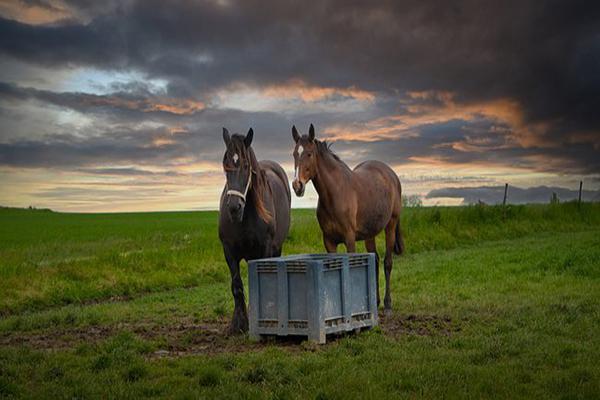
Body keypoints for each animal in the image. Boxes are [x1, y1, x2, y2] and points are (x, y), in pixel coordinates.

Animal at [219, 127, 292, 332]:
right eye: (225, 165)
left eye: (245, 165)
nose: (234, 207)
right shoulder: (229, 251)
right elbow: (237, 286)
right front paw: (238, 323)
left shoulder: (265, 248)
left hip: (276, 247)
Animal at [290, 123, 404, 314]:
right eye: (294, 154)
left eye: (309, 154)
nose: (297, 186)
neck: (335, 193)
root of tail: (392, 175)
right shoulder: (329, 241)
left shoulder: (349, 239)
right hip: (370, 233)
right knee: (375, 261)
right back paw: (375, 302)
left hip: (391, 225)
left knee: (387, 262)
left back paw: (387, 304)